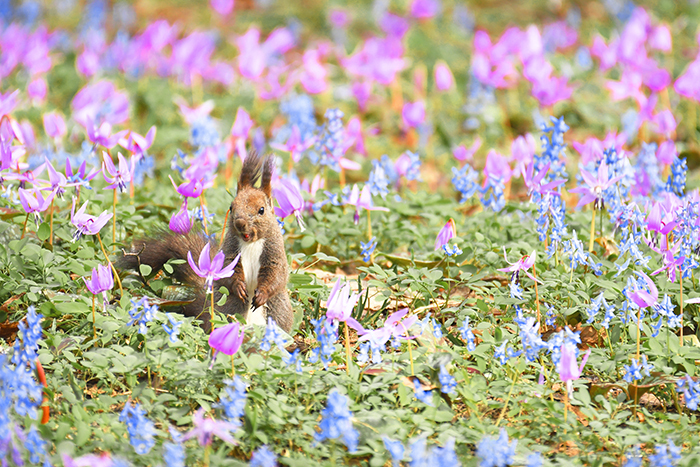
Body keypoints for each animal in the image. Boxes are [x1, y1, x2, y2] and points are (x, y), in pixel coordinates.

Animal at [119, 153, 294, 332]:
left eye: (261, 210)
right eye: (231, 207)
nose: (239, 223)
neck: (251, 242)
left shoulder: (274, 251)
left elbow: (276, 274)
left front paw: (262, 294)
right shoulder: (230, 250)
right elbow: (229, 270)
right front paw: (239, 287)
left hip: (278, 311)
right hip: (222, 308)